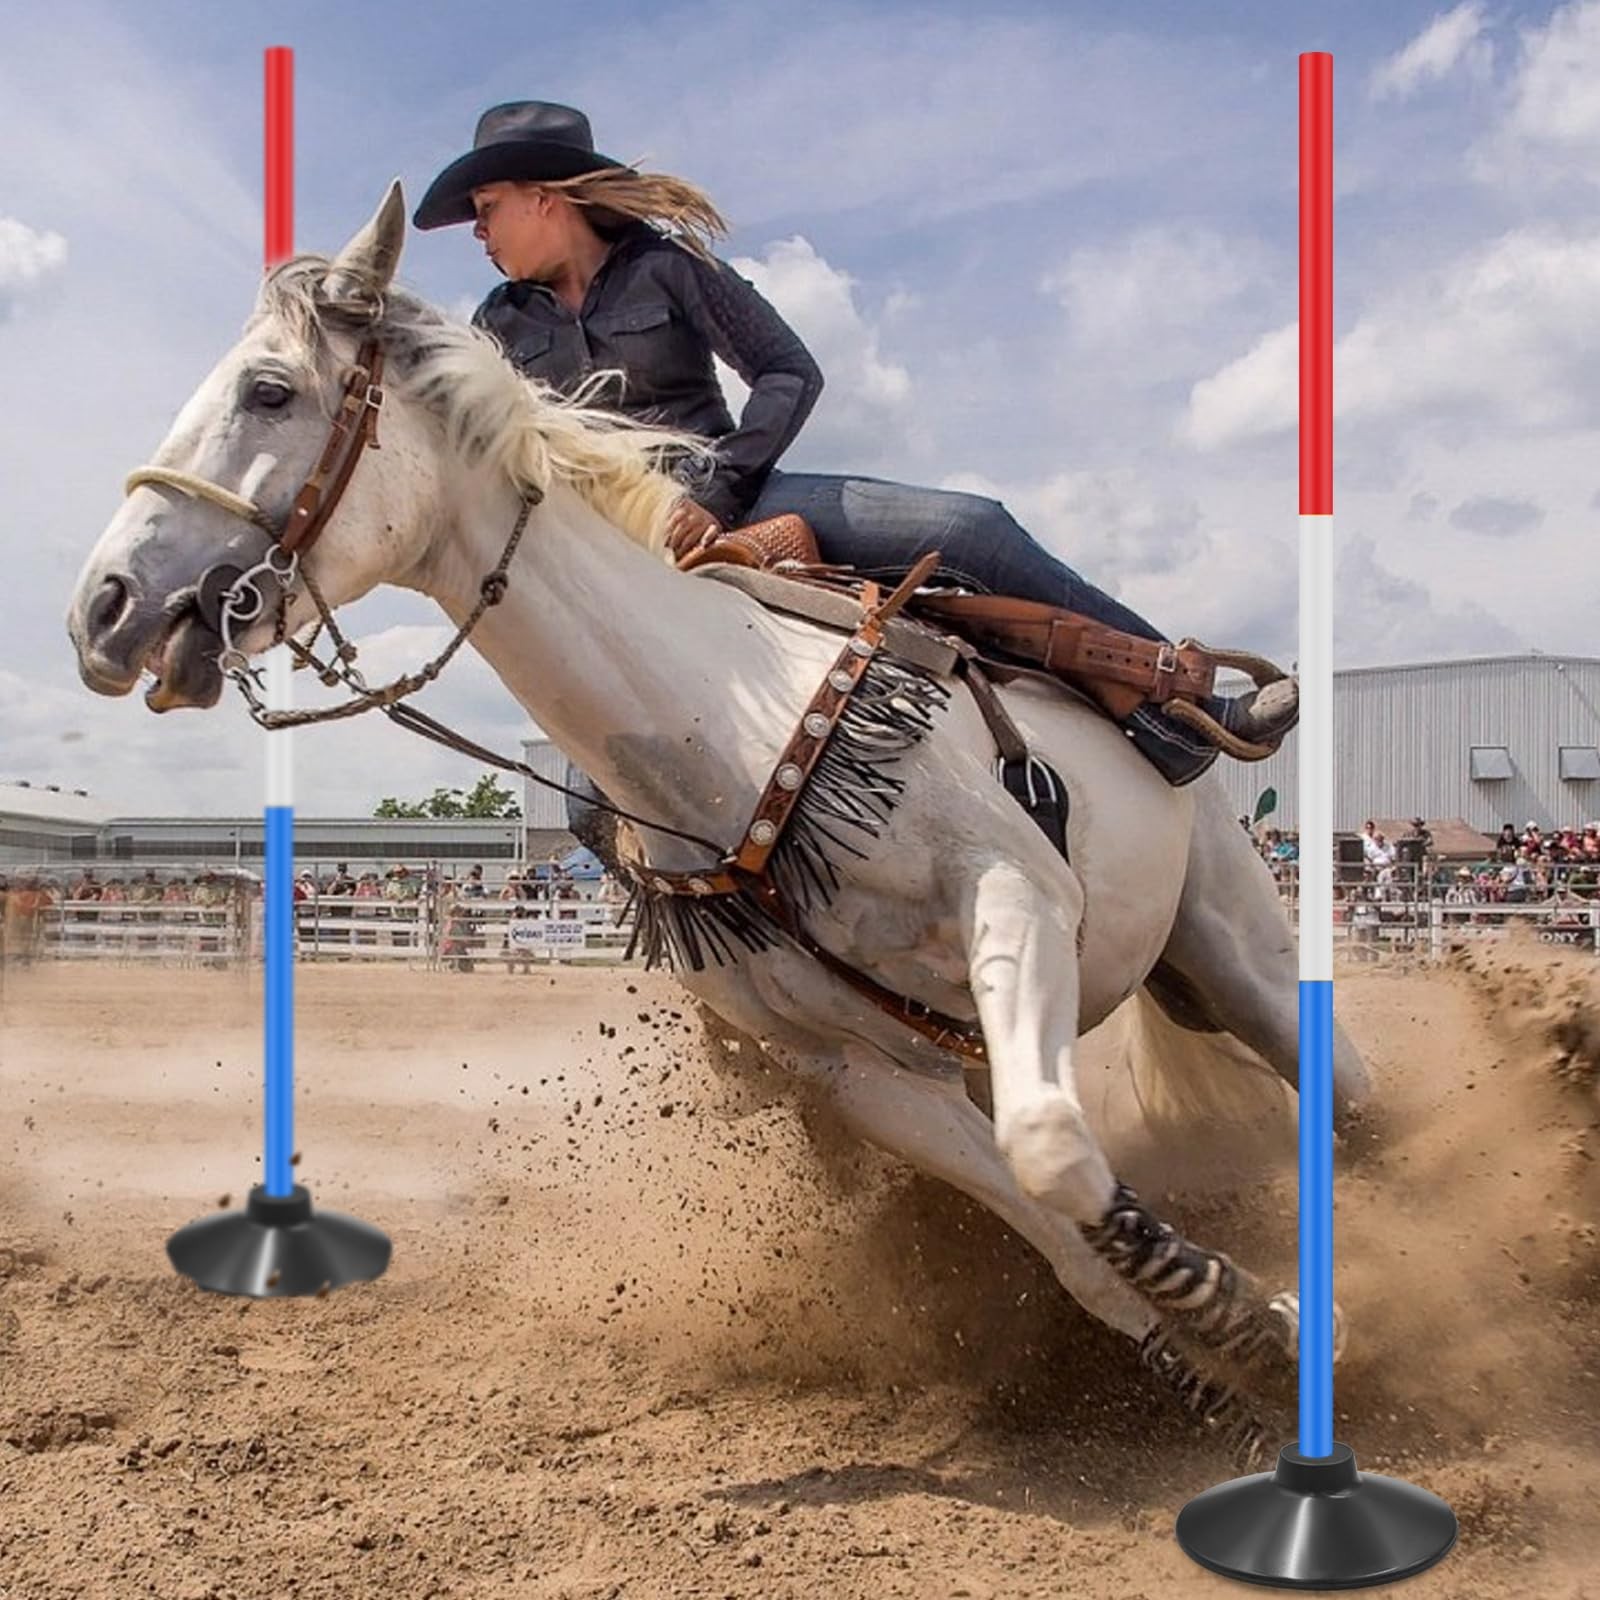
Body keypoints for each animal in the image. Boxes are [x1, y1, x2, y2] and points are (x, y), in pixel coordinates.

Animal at [67, 184, 1373, 1450]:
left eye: (270, 390)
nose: (102, 608)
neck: (736, 728)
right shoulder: (862, 1073)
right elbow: (1057, 1217)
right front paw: (1218, 1350)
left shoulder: (1019, 899)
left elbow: (1054, 1145)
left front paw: (1257, 1313)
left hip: (1236, 944)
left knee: (1345, 1100)